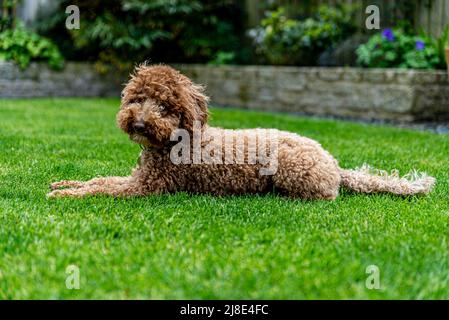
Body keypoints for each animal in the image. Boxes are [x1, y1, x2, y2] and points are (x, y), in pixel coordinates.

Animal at [48, 64, 434, 199]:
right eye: (137, 98)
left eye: (165, 107)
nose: (140, 123)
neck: (175, 142)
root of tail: (335, 165)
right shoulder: (137, 178)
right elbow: (100, 180)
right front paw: (63, 184)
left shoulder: (146, 189)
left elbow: (101, 190)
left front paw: (65, 195)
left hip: (292, 170)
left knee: (326, 196)